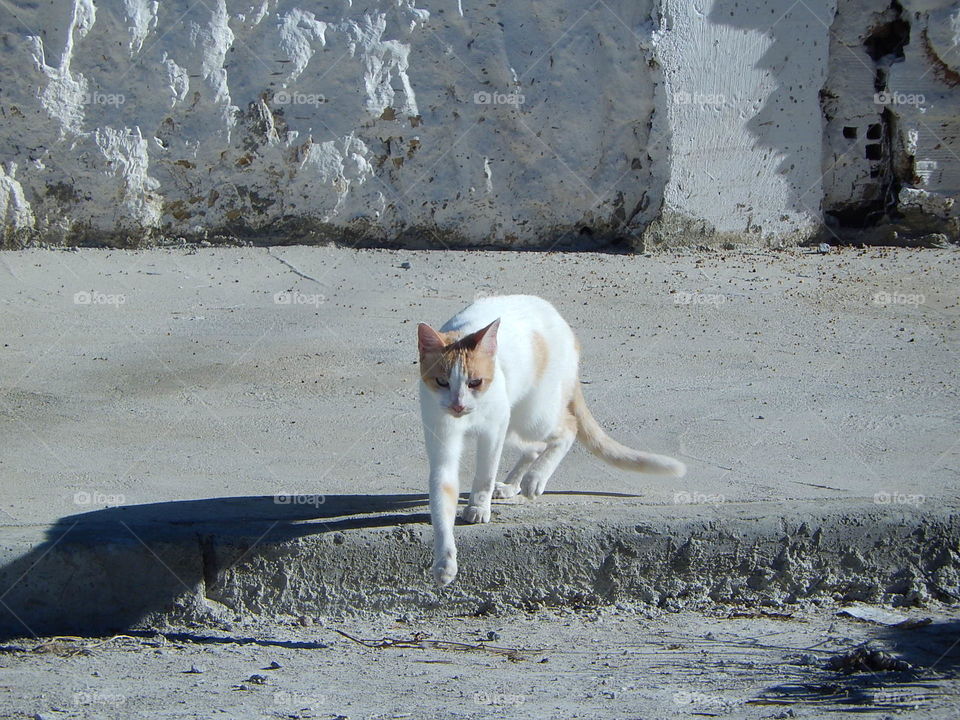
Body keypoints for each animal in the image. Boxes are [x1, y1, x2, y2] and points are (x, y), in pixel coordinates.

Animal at [416, 296, 688, 588]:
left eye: (475, 382)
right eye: (442, 382)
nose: (458, 405)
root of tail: (560, 320)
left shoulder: (493, 429)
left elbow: (485, 476)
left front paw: (478, 506)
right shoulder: (442, 437)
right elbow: (442, 498)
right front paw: (445, 561)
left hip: (531, 414)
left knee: (567, 428)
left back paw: (535, 479)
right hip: (515, 420)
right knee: (534, 447)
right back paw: (513, 485)